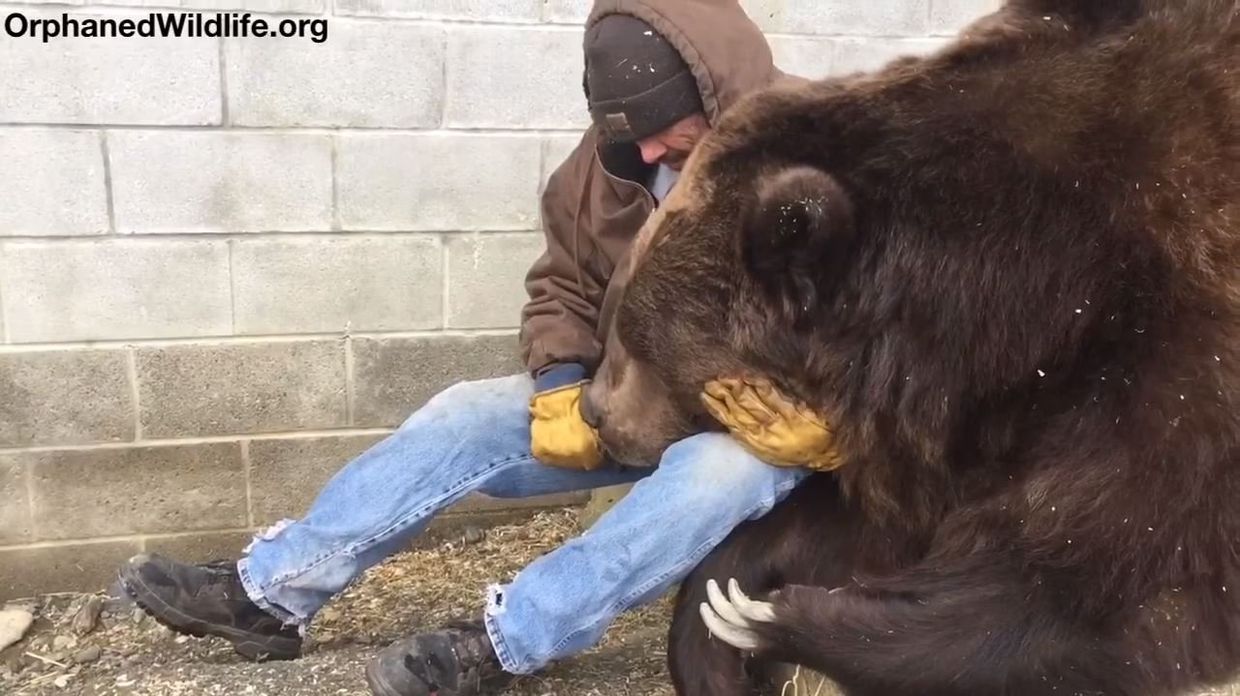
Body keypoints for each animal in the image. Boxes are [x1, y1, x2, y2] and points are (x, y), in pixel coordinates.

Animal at [578, 1, 1240, 695]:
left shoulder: (1181, 347)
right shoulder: (946, 417)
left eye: (634, 335)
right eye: (618, 310)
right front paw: (719, 616)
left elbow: (1110, 570)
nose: (595, 413)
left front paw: (773, 619)